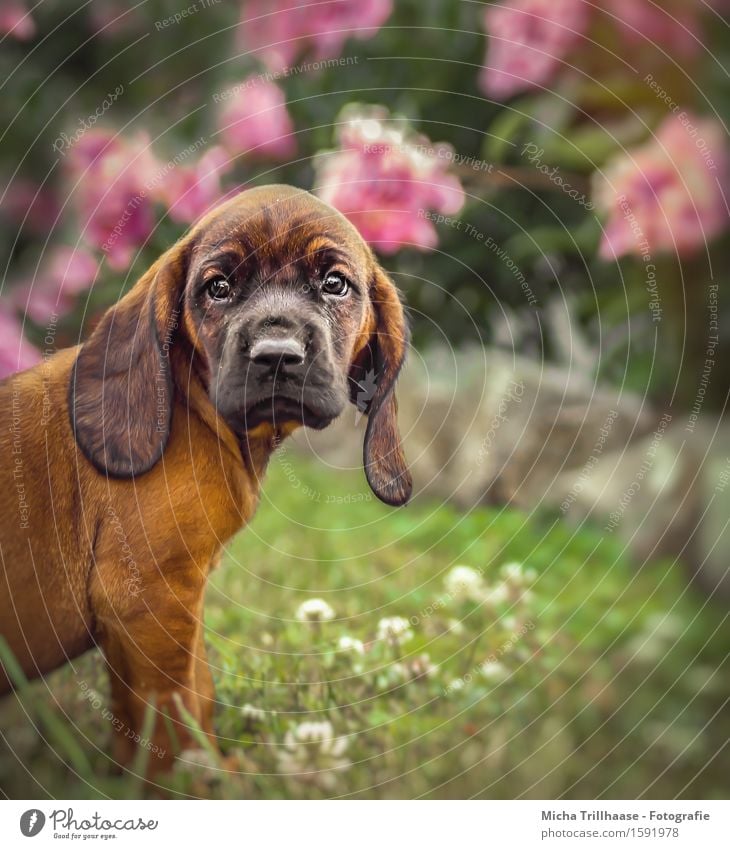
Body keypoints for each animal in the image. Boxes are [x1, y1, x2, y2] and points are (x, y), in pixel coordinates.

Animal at [0, 186, 410, 768]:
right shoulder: (149, 598)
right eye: (218, 288)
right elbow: (173, 714)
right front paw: (190, 780)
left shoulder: (173, 606)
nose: (276, 357)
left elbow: (194, 697)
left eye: (335, 284)